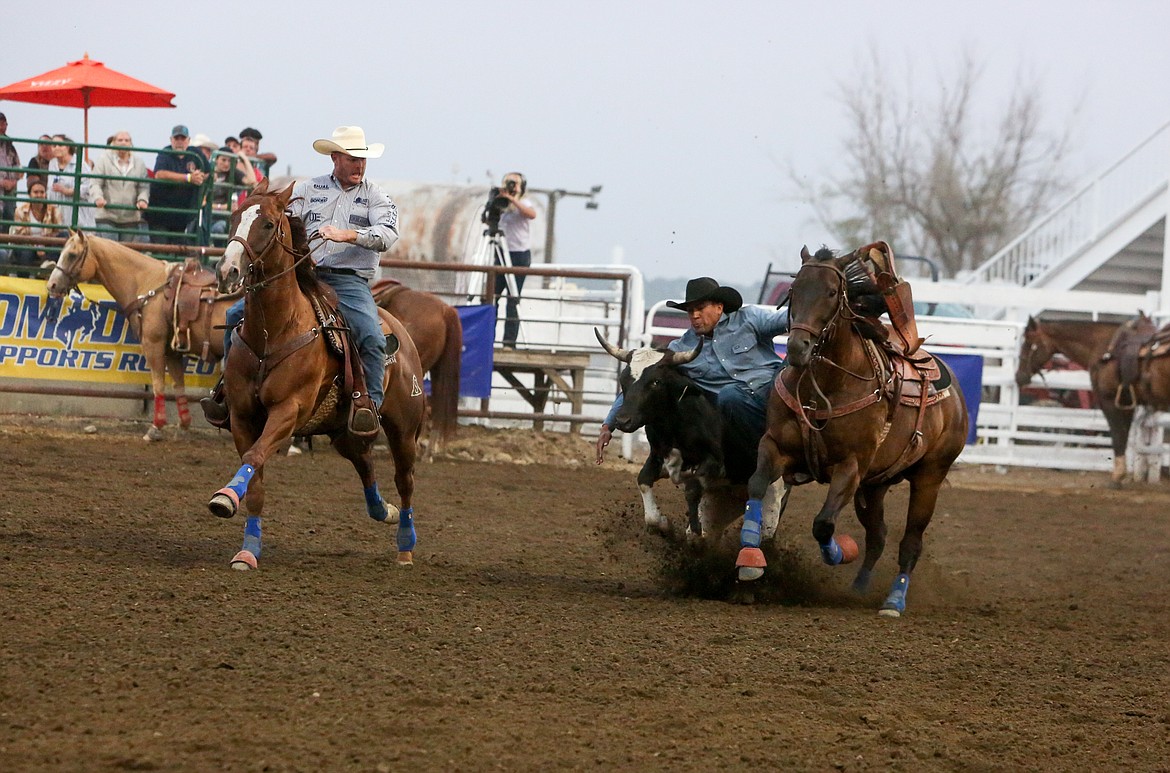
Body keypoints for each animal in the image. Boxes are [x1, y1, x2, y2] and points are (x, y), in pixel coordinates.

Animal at [44, 229, 236, 439]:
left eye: (72, 254)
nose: (52, 285)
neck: (149, 285)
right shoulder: (172, 350)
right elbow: (178, 384)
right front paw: (183, 425)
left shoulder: (153, 344)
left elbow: (158, 384)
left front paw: (155, 428)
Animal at [208, 178, 428, 566]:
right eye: (235, 218)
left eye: (267, 224)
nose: (227, 272)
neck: (275, 329)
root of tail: (401, 332)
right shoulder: (242, 417)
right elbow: (256, 480)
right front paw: (248, 549)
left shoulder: (288, 411)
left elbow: (254, 457)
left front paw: (225, 497)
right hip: (343, 429)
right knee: (363, 461)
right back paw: (381, 510)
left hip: (404, 429)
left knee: (405, 480)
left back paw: (405, 545)